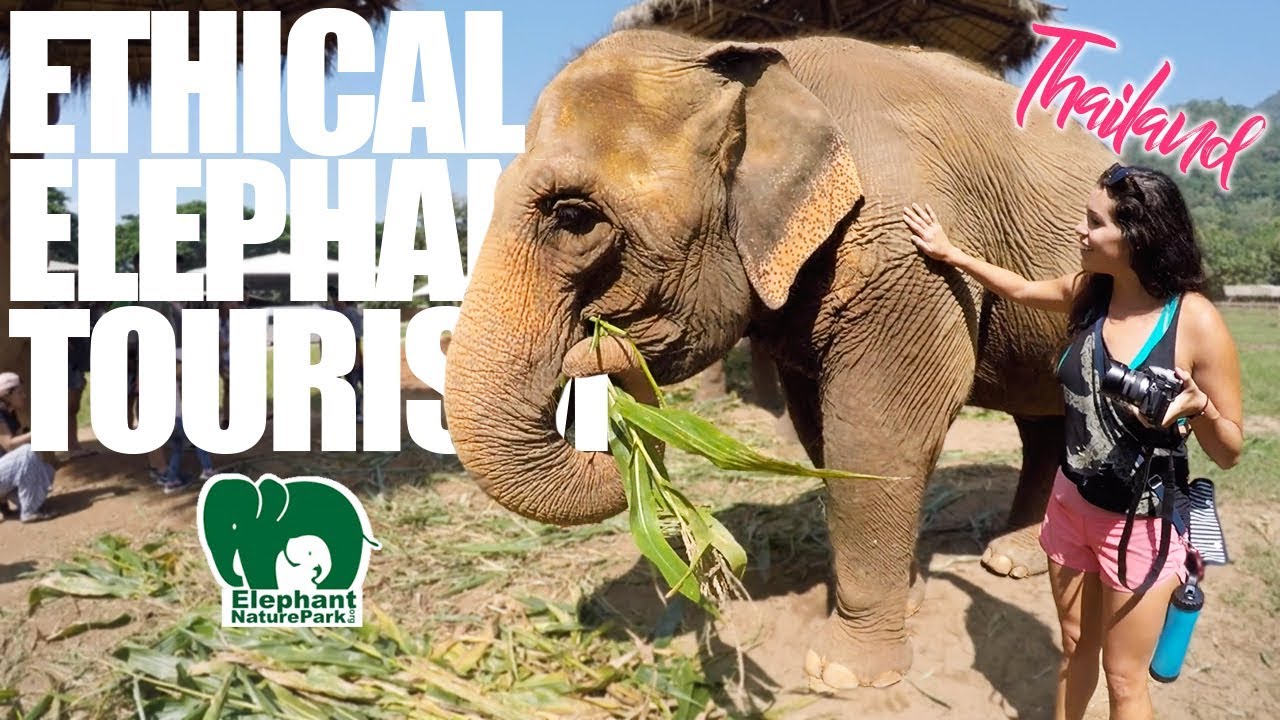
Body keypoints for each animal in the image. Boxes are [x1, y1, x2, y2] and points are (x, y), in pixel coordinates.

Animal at [442, 29, 1115, 689]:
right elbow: (821, 433)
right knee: (1044, 421)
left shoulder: (908, 255)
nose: (595, 350)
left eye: (573, 216)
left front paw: (843, 673)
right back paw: (1014, 558)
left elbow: (876, 430)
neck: (753, 61)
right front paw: (905, 601)